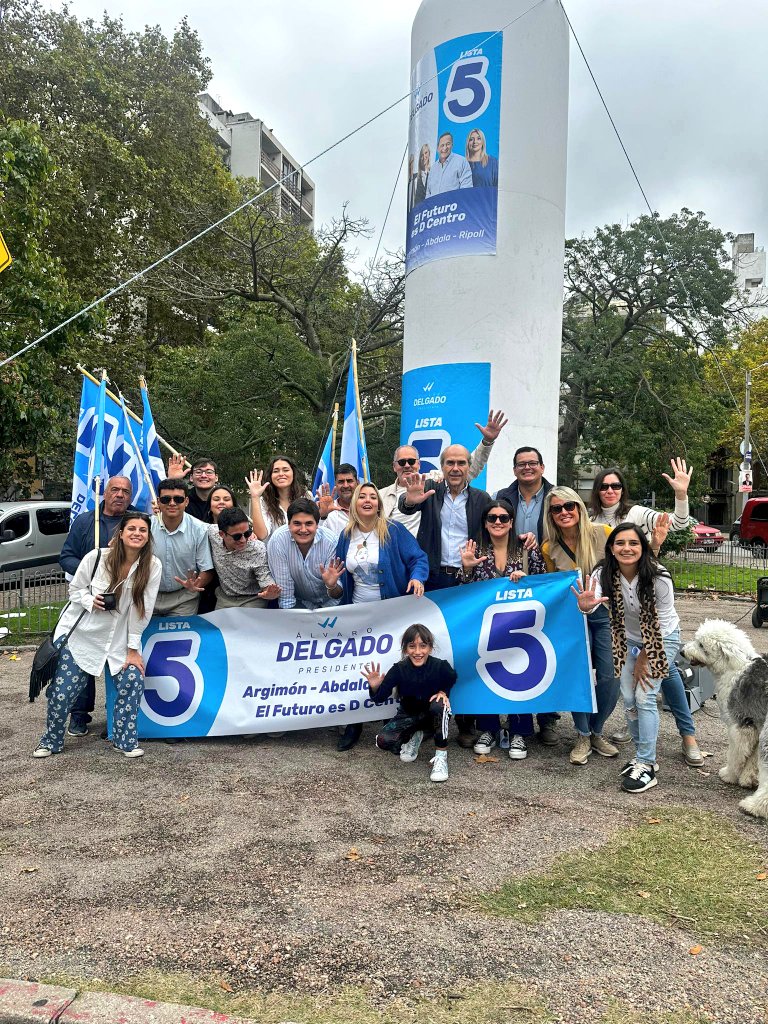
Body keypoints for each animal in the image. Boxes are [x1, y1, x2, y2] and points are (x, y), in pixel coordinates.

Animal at [684, 618, 768, 819]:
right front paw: (748, 779)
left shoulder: (740, 726)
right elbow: (751, 757)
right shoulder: (754, 726)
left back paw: (753, 807)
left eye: (701, 644)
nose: (682, 651)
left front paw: (729, 775)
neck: (735, 667)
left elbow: (736, 754)